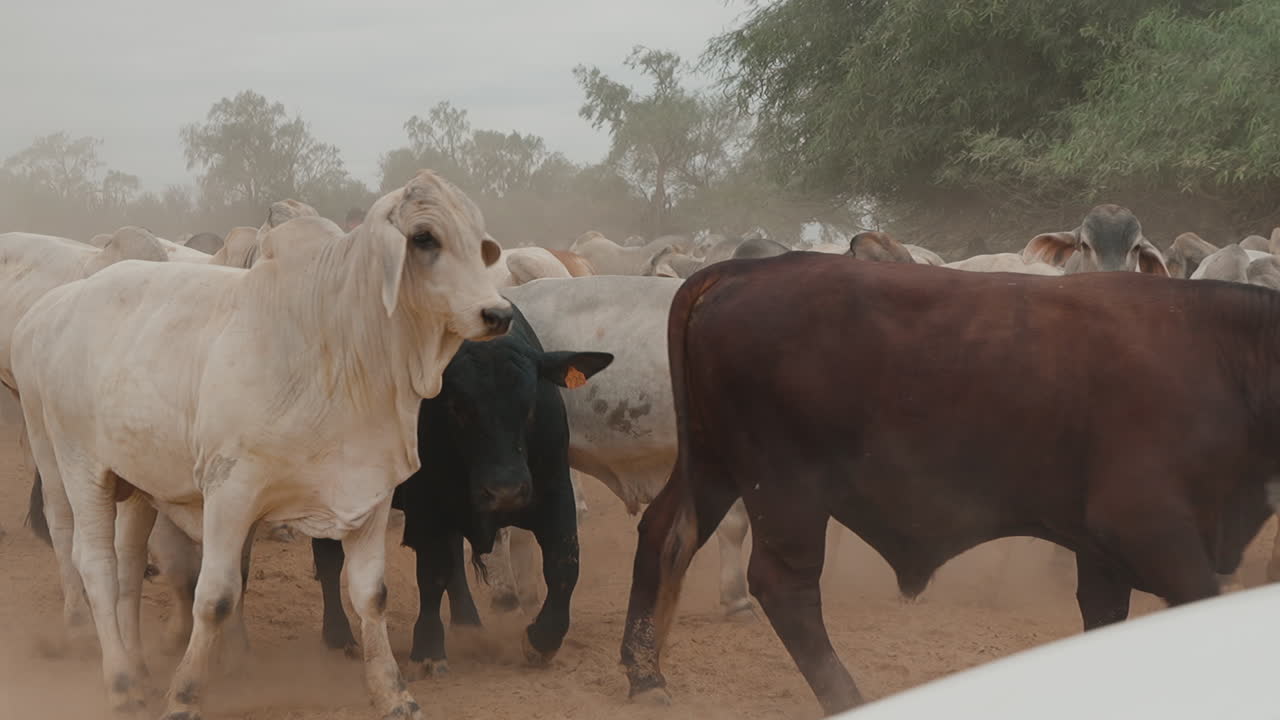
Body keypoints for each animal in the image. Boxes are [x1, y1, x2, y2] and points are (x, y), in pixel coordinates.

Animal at [310, 306, 613, 679]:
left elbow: (564, 567)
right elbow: (432, 572)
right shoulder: (428, 510)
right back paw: (338, 637)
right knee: (328, 560)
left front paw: (541, 641)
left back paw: (468, 622)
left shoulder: (555, 496)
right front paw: (428, 650)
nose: (505, 491)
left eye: (529, 405)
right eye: (456, 407)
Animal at [620, 254, 1278, 716]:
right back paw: (848, 699)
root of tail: (747, 268)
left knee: (666, 534)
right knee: (784, 585)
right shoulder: (1151, 530)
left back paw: (645, 674)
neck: (1225, 354)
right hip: (784, 486)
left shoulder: (1103, 555)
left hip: (712, 465)